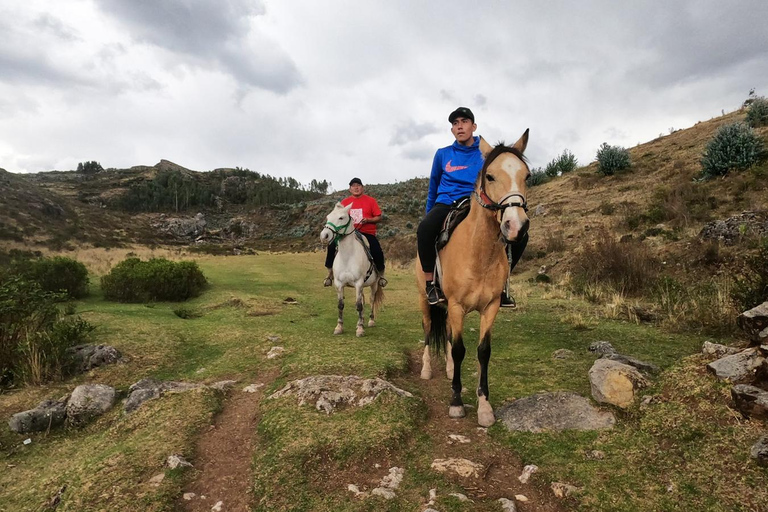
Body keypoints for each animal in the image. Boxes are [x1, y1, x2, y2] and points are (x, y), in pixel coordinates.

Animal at [320, 202, 388, 338]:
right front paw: (339, 327)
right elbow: (341, 305)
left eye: (341, 217)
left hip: (374, 284)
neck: (347, 256)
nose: (324, 236)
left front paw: (360, 329)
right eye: (328, 217)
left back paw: (370, 321)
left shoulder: (358, 283)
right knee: (363, 300)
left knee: (371, 300)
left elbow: (359, 306)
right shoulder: (339, 284)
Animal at [416, 130, 532, 426]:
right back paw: (426, 369)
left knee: (446, 333)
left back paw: (447, 369)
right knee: (427, 331)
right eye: (489, 176)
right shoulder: (457, 306)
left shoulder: (490, 308)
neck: (479, 252)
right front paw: (456, 402)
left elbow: (482, 351)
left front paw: (484, 407)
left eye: (527, 176)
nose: (516, 226)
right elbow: (459, 350)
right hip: (426, 301)